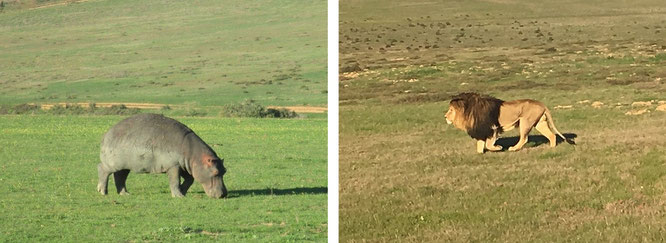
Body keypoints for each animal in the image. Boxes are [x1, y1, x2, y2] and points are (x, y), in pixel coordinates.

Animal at [94, 113, 227, 197]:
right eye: (215, 172)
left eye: (225, 171)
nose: (224, 194)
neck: (194, 155)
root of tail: (106, 134)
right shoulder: (173, 166)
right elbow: (174, 181)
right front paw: (178, 196)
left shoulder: (184, 166)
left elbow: (190, 180)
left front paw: (183, 192)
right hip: (112, 163)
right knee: (102, 169)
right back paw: (102, 191)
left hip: (124, 166)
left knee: (120, 177)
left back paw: (125, 194)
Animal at [444, 92, 572, 153]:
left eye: (450, 110)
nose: (445, 116)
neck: (468, 112)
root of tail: (542, 104)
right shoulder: (481, 130)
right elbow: (480, 146)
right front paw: (480, 154)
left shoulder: (492, 128)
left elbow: (489, 144)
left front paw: (498, 147)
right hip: (540, 123)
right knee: (552, 135)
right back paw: (552, 148)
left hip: (525, 121)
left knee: (524, 138)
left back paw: (513, 148)